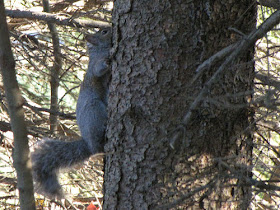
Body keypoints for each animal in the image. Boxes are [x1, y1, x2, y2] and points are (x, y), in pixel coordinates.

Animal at [31, 27, 111, 198]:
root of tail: (87, 142)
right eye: (104, 32)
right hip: (94, 111)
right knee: (97, 148)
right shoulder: (94, 66)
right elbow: (99, 70)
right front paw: (108, 61)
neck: (99, 50)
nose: (111, 27)